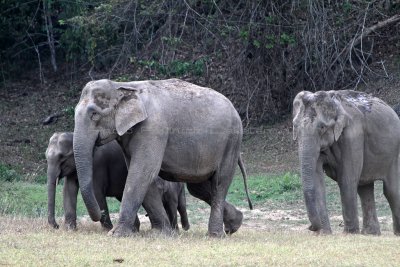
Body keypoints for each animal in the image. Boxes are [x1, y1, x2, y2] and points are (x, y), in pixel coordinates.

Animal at [45, 133, 189, 233]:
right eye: (46, 157)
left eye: (62, 157)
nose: (56, 226)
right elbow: (69, 190)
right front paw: (70, 229)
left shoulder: (97, 164)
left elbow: (97, 192)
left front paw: (107, 230)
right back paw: (135, 230)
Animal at [72, 78, 253, 238]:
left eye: (94, 114)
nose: (100, 213)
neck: (122, 86)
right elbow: (142, 174)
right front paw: (162, 233)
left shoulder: (153, 129)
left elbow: (142, 172)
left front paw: (116, 234)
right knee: (199, 187)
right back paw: (235, 224)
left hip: (231, 141)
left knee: (219, 183)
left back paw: (215, 235)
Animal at [292, 90, 400, 237]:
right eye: (295, 126)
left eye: (322, 127)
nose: (310, 227)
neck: (336, 104)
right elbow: (317, 179)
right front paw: (324, 234)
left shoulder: (353, 136)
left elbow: (347, 179)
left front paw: (349, 233)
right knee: (365, 188)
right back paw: (370, 234)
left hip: (395, 153)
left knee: (391, 191)